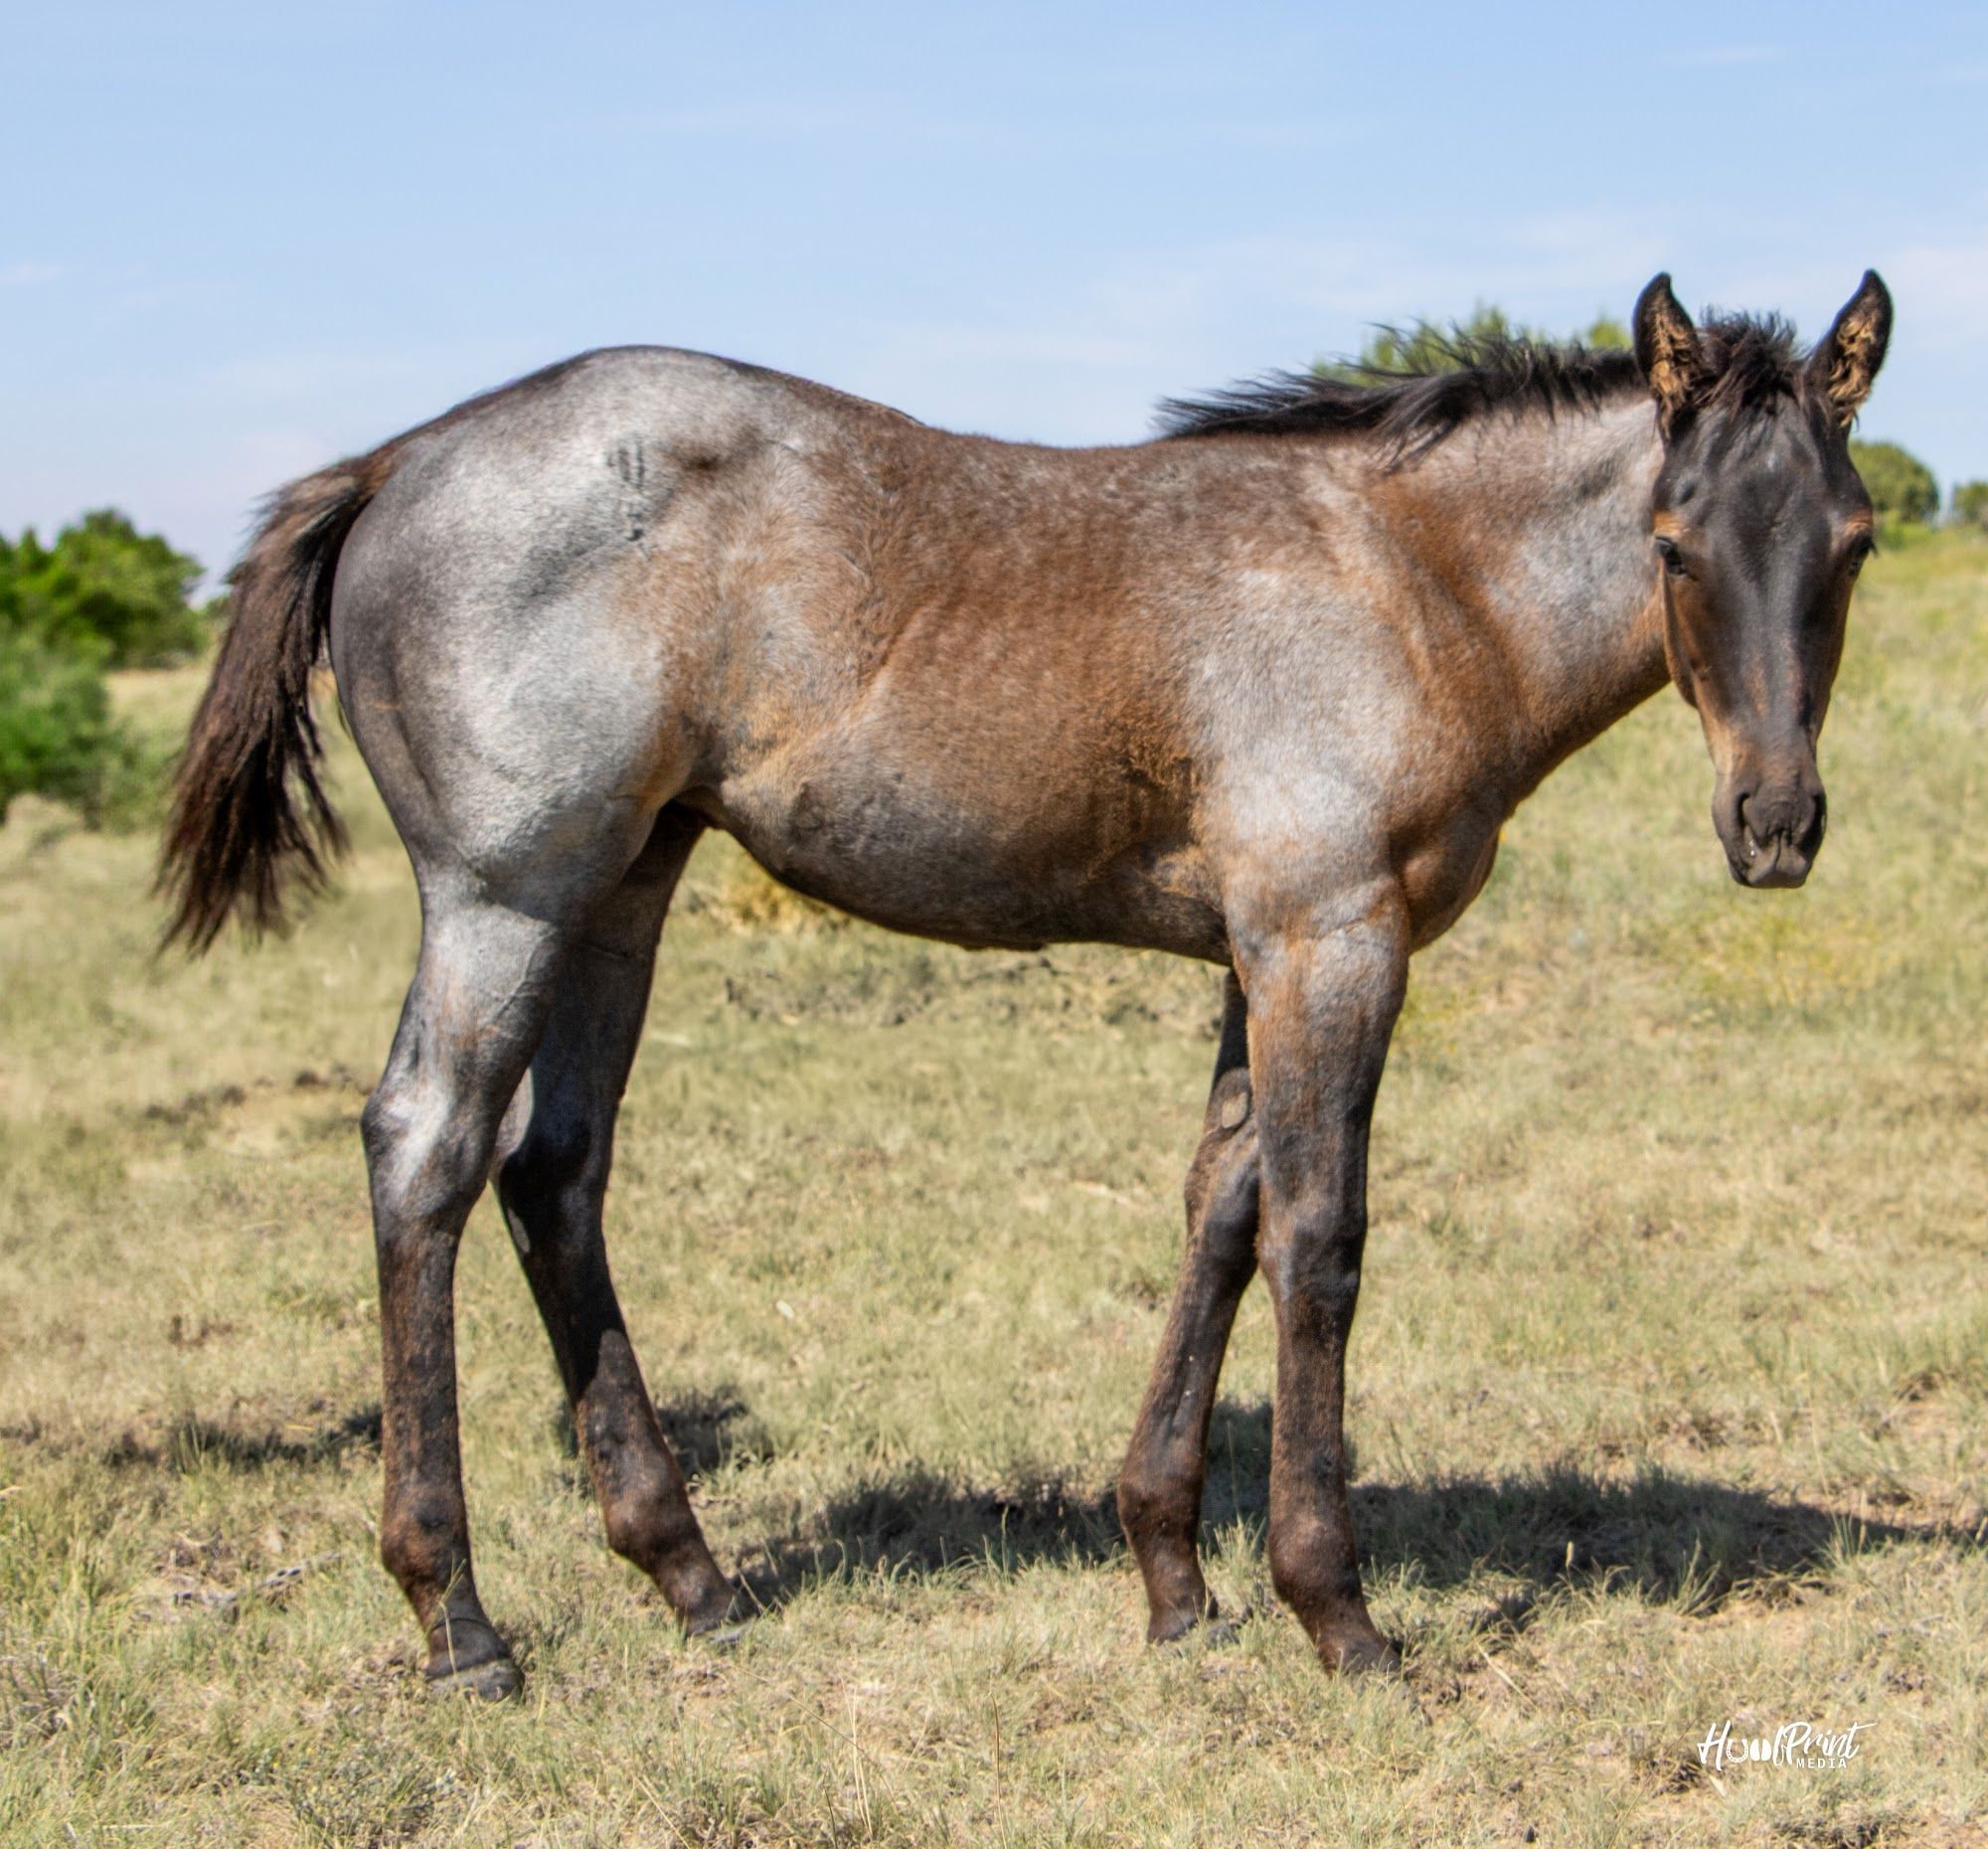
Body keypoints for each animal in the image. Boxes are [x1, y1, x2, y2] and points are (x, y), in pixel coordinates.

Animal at [161, 271, 1892, 1698]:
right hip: (505, 894)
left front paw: (1174, 1583)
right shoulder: (1332, 940)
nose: (1776, 825)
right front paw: (1336, 1611)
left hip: (623, 889)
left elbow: (1221, 1213)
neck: (1411, 582)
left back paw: (692, 1578)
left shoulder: (1262, 953)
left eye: (1853, 544)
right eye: (1674, 545)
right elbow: (1319, 1241)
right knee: (428, 1152)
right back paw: (459, 1621)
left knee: (553, 1173)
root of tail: (397, 459)